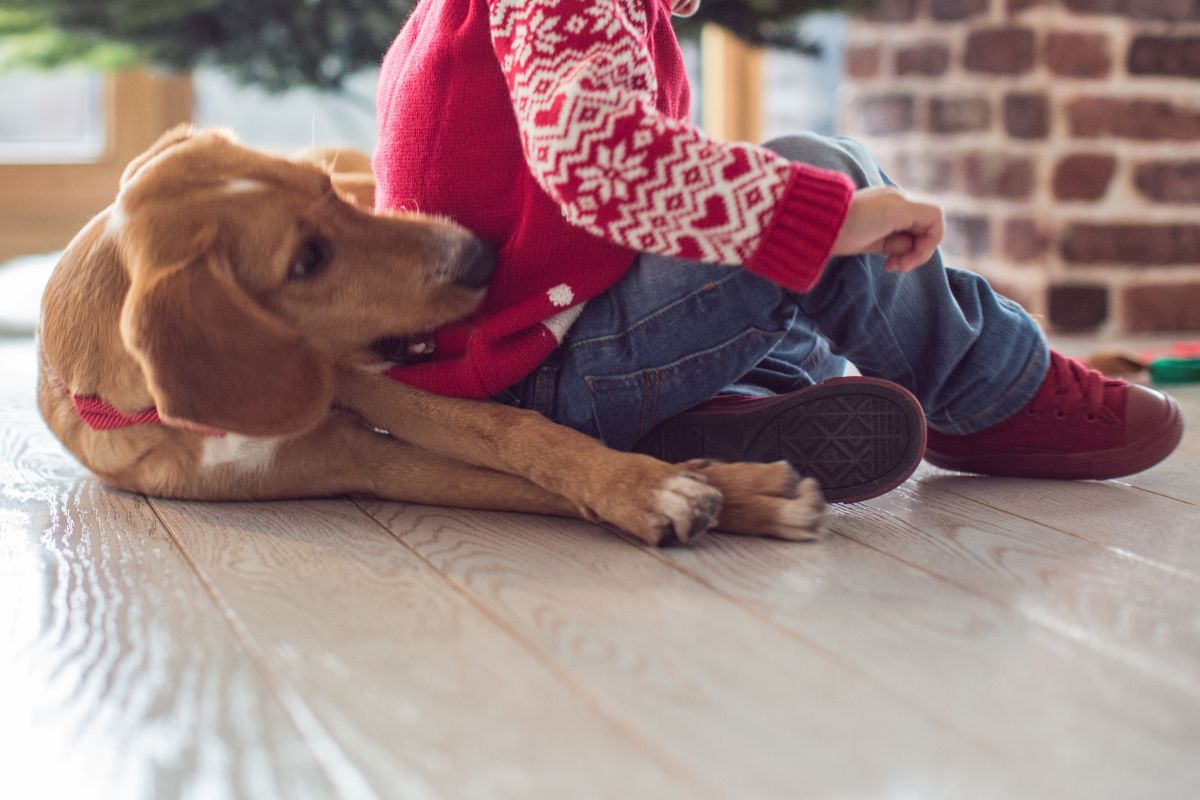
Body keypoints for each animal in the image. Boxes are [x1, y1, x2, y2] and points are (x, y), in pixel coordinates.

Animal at [37, 128, 825, 544]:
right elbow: (523, 485)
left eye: (326, 186)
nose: (480, 256)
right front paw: (689, 491)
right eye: (306, 260)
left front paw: (675, 483)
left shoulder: (370, 388)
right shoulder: (369, 462)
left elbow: (523, 437)